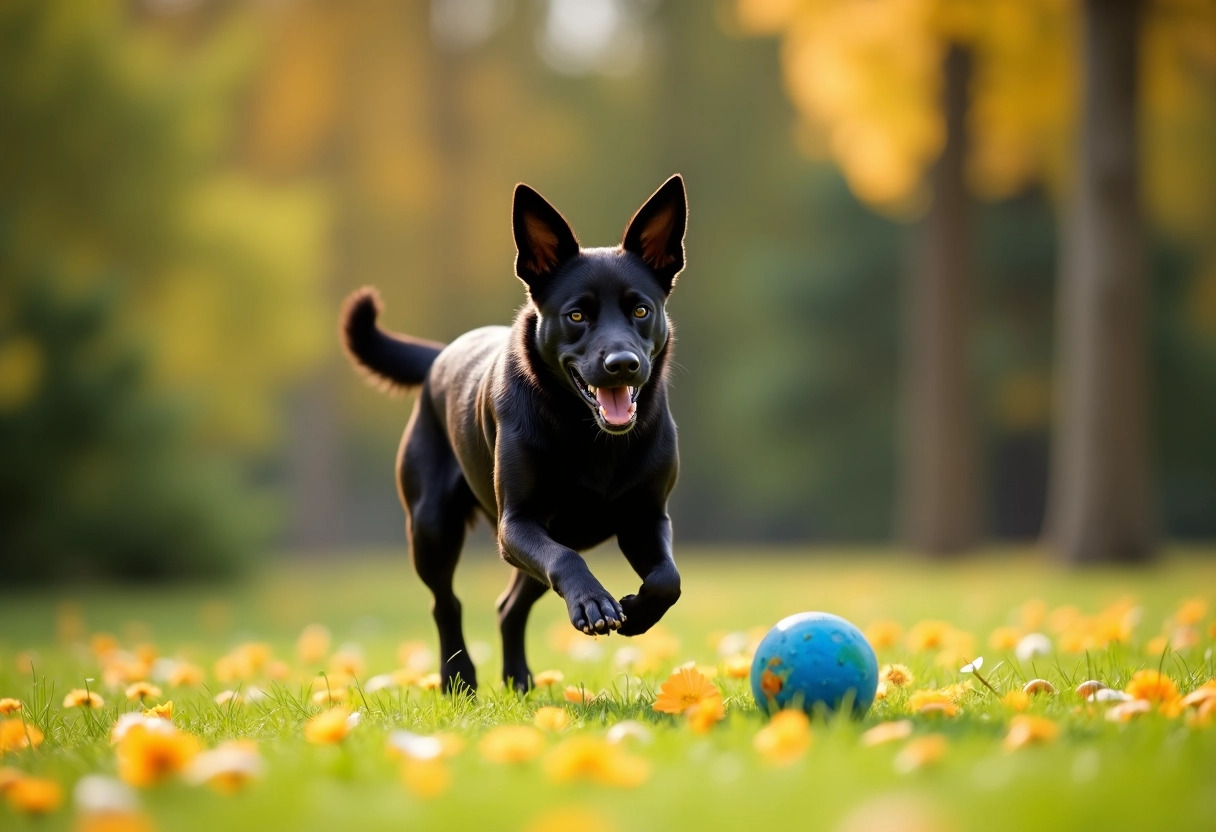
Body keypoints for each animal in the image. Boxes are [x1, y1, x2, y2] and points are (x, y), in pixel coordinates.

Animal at [342, 173, 690, 690]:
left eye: (642, 311)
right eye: (577, 315)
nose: (623, 364)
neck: (591, 437)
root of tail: (441, 355)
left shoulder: (646, 519)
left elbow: (668, 580)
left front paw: (638, 611)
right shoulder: (518, 523)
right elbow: (565, 560)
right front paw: (594, 602)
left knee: (509, 607)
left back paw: (520, 680)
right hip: (431, 525)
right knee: (446, 603)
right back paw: (459, 678)